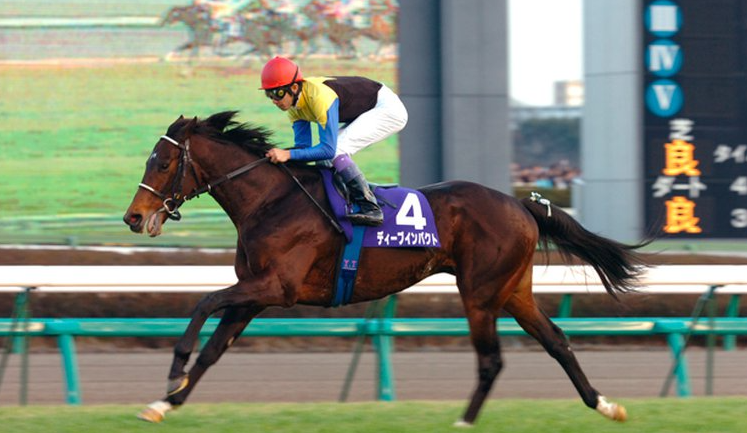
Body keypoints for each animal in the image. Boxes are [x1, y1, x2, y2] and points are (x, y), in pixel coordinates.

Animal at [123, 111, 648, 426]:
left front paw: (174, 369)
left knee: (491, 359)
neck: (271, 199)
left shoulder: (276, 286)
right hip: (513, 290)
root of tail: (520, 203)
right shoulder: (254, 291)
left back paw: (463, 421)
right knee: (557, 340)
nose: (132, 217)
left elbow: (203, 302)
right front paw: (165, 402)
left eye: (163, 161)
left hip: (481, 292)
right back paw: (605, 405)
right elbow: (214, 348)